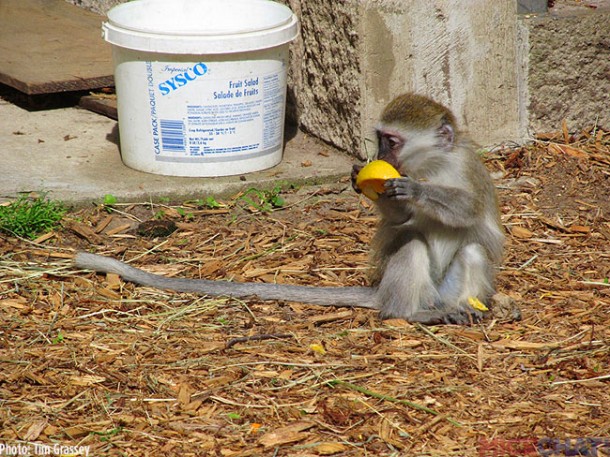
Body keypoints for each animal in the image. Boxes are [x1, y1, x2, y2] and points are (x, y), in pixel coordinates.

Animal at [76, 92, 504, 324]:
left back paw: (465, 309)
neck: (433, 166)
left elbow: (469, 209)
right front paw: (366, 180)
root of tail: (388, 296)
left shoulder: (468, 168)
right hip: (419, 292)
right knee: (412, 245)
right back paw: (410, 314)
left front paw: (411, 188)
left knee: (471, 250)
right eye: (380, 139)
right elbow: (403, 222)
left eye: (392, 142)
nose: (379, 157)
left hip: (444, 291)